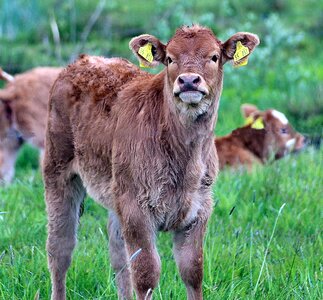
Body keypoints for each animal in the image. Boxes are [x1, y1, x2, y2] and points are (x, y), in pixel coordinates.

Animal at [43, 24, 260, 298]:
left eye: (214, 57)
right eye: (170, 59)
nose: (188, 81)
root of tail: (83, 60)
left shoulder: (199, 209)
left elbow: (193, 271)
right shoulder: (137, 210)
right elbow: (146, 274)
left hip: (116, 192)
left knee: (118, 256)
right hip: (58, 171)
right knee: (60, 249)